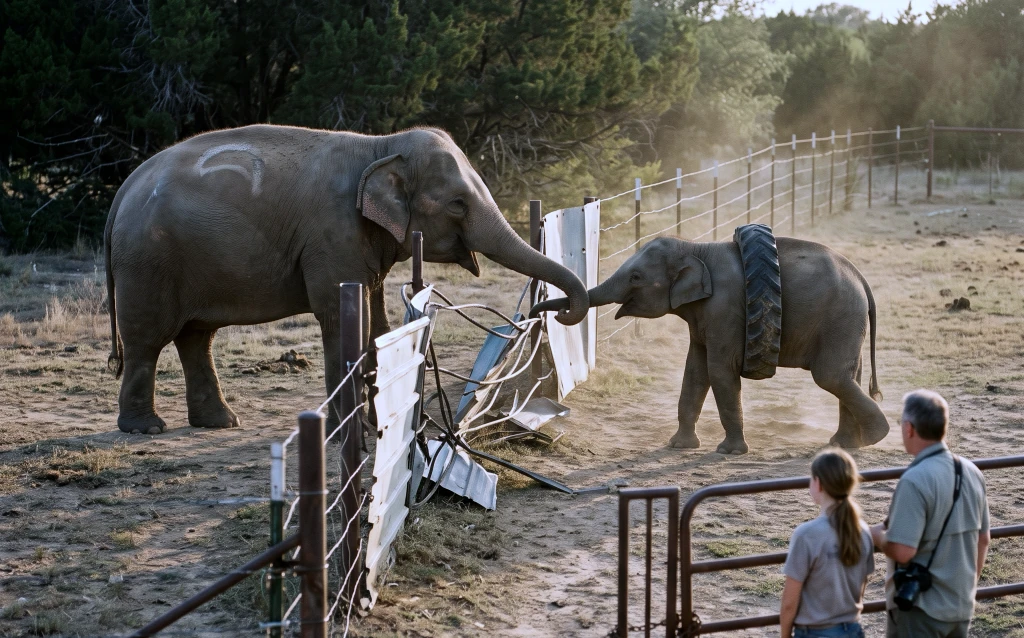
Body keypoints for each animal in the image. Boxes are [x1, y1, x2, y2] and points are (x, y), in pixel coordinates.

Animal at [104, 124, 588, 434]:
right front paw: (349, 432)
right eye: (456, 204)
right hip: (147, 262)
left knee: (196, 337)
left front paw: (377, 424)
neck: (380, 146)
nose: (557, 309)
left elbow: (377, 321)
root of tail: (124, 188)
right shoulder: (332, 234)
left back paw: (221, 423)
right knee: (149, 338)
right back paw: (145, 429)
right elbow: (340, 317)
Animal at [530, 235, 889, 454]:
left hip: (840, 317)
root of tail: (861, 277)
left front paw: (729, 452)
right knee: (848, 376)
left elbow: (718, 370)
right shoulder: (702, 315)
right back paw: (844, 445)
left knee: (831, 376)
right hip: (846, 322)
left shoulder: (725, 309)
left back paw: (875, 437)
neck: (695, 247)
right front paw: (678, 446)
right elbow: (695, 371)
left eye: (635, 278)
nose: (549, 311)